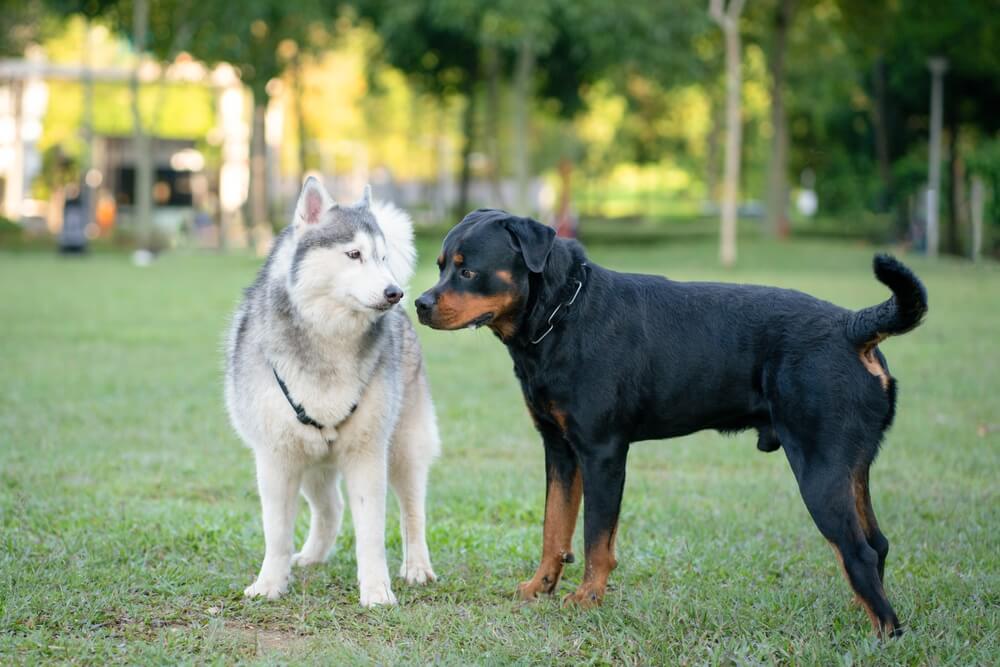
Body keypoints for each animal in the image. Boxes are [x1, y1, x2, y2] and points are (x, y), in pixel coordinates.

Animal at [230, 177, 442, 604]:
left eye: (381, 257)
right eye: (354, 254)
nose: (395, 292)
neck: (329, 337)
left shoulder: (367, 454)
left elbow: (371, 534)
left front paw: (377, 591)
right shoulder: (276, 458)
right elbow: (276, 532)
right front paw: (269, 584)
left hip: (404, 448)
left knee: (413, 511)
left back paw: (417, 567)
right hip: (314, 460)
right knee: (331, 507)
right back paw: (311, 557)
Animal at [416, 209, 928, 636]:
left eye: (467, 270)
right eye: (440, 265)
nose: (420, 302)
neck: (561, 314)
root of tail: (853, 327)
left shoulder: (602, 452)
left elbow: (595, 536)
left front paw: (588, 597)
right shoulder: (559, 449)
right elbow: (554, 526)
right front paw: (540, 586)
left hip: (819, 469)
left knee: (858, 549)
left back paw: (885, 633)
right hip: (849, 466)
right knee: (876, 543)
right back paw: (863, 611)